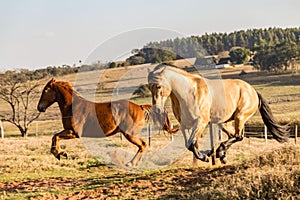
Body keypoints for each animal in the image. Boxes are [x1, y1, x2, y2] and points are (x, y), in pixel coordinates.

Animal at [37, 78, 178, 167]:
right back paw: (135, 163)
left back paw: (131, 163)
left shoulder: (74, 133)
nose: (40, 107)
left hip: (129, 134)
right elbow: (55, 137)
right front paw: (60, 154)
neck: (73, 106)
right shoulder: (70, 132)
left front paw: (60, 153)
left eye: (45, 91)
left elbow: (55, 136)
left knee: (142, 145)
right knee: (142, 146)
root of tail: (139, 107)